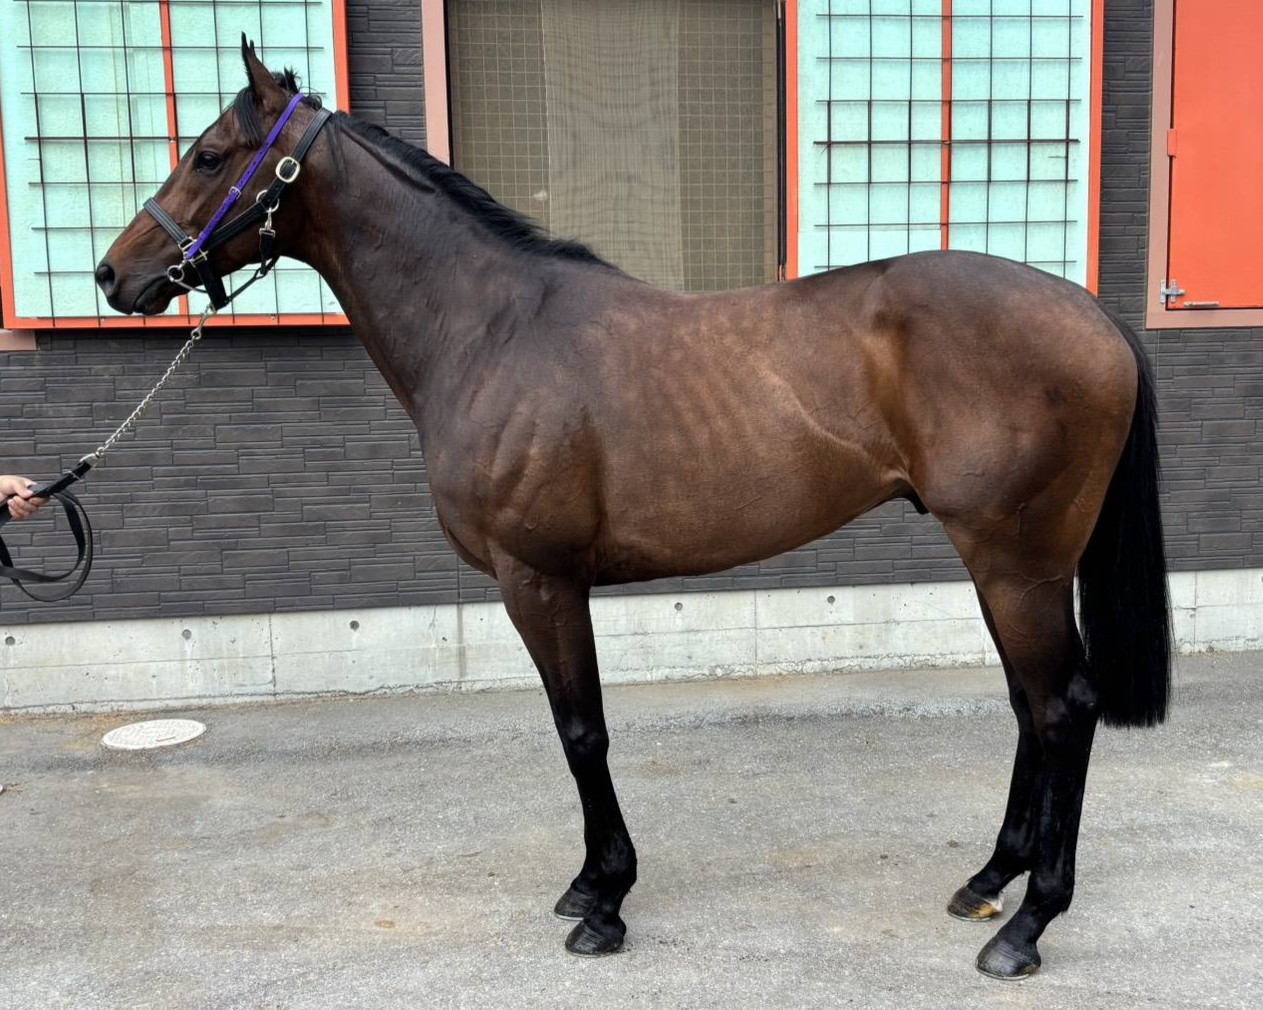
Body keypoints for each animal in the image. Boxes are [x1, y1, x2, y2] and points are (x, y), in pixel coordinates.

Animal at [96, 42, 1171, 979]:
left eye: (208, 154)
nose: (115, 274)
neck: (491, 331)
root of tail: (1093, 316)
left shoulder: (540, 580)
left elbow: (582, 732)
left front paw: (604, 902)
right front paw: (588, 886)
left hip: (1017, 564)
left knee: (1064, 708)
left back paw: (1027, 925)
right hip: (1001, 566)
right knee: (1031, 707)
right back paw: (990, 879)